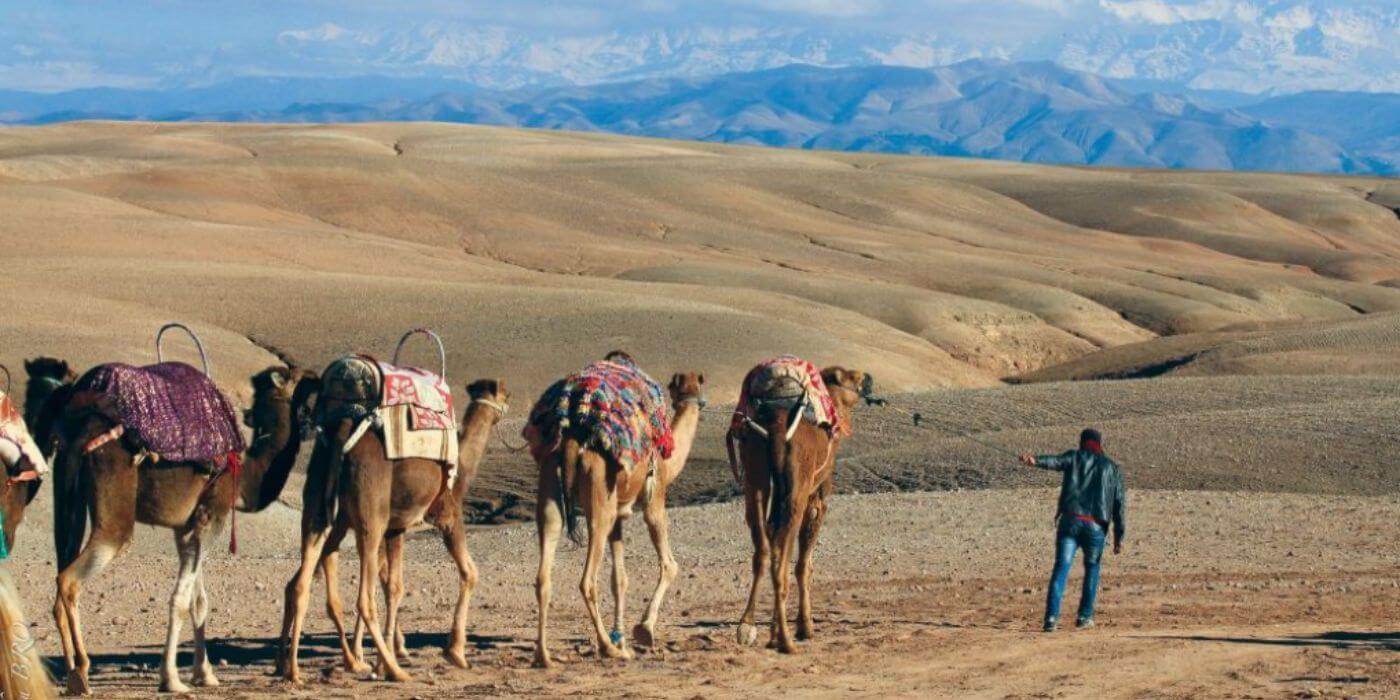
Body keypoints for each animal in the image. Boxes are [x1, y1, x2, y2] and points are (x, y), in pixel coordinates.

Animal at [34, 366, 320, 694]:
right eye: (295, 376)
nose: (314, 375)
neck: (246, 475)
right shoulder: (213, 515)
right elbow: (181, 601)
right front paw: (171, 679)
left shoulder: (187, 526)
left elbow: (199, 601)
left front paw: (205, 673)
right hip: (114, 511)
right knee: (69, 579)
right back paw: (81, 670)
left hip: (68, 499)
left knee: (61, 577)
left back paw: (70, 673)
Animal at [275, 378, 512, 683]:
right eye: (505, 395)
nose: (509, 405)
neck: (461, 469)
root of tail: (342, 435)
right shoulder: (447, 515)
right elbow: (469, 573)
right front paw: (454, 652)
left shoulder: (396, 528)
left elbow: (394, 587)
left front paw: (385, 654)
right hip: (369, 517)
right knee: (362, 598)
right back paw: (393, 670)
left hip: (320, 509)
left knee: (299, 583)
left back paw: (292, 668)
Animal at [529, 372, 705, 666]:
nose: (698, 400)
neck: (668, 462)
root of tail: (571, 442)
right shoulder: (654, 501)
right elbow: (670, 565)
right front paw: (643, 630)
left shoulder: (619, 517)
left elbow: (619, 580)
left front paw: (622, 637)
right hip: (599, 500)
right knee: (587, 580)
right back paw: (608, 648)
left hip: (550, 485)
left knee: (544, 571)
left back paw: (544, 656)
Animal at [739, 366, 868, 655]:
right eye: (851, 377)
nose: (866, 378)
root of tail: (777, 430)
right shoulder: (817, 496)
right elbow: (804, 564)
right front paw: (805, 626)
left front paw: (772, 631)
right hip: (797, 488)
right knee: (782, 556)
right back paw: (786, 641)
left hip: (755, 477)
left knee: (764, 549)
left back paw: (747, 626)